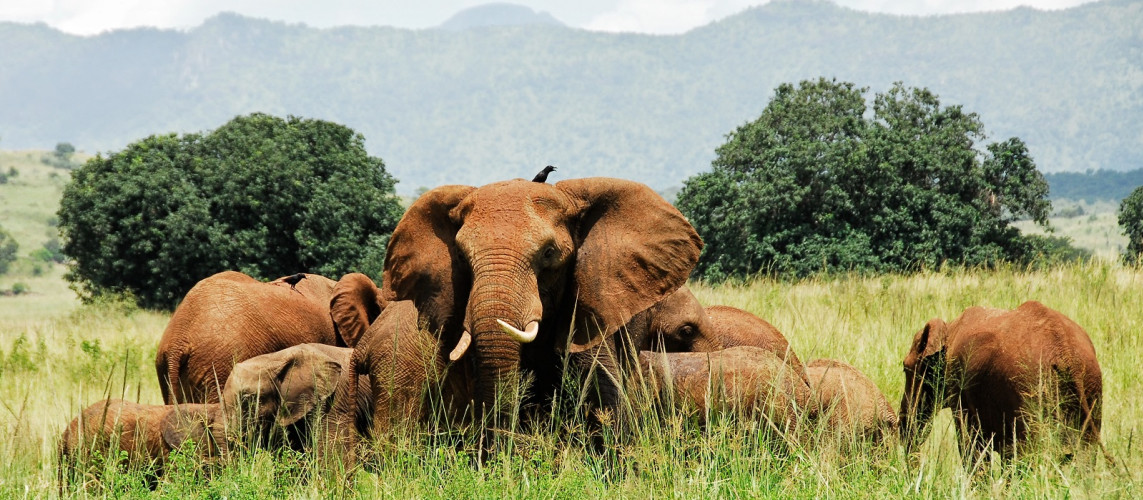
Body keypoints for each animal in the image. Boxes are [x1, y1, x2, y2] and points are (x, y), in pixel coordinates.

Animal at [899, 301, 1104, 465]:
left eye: (905, 369)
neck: (949, 328)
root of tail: (1065, 352)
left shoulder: (959, 386)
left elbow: (971, 447)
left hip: (1029, 391)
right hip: (1091, 387)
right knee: (1085, 456)